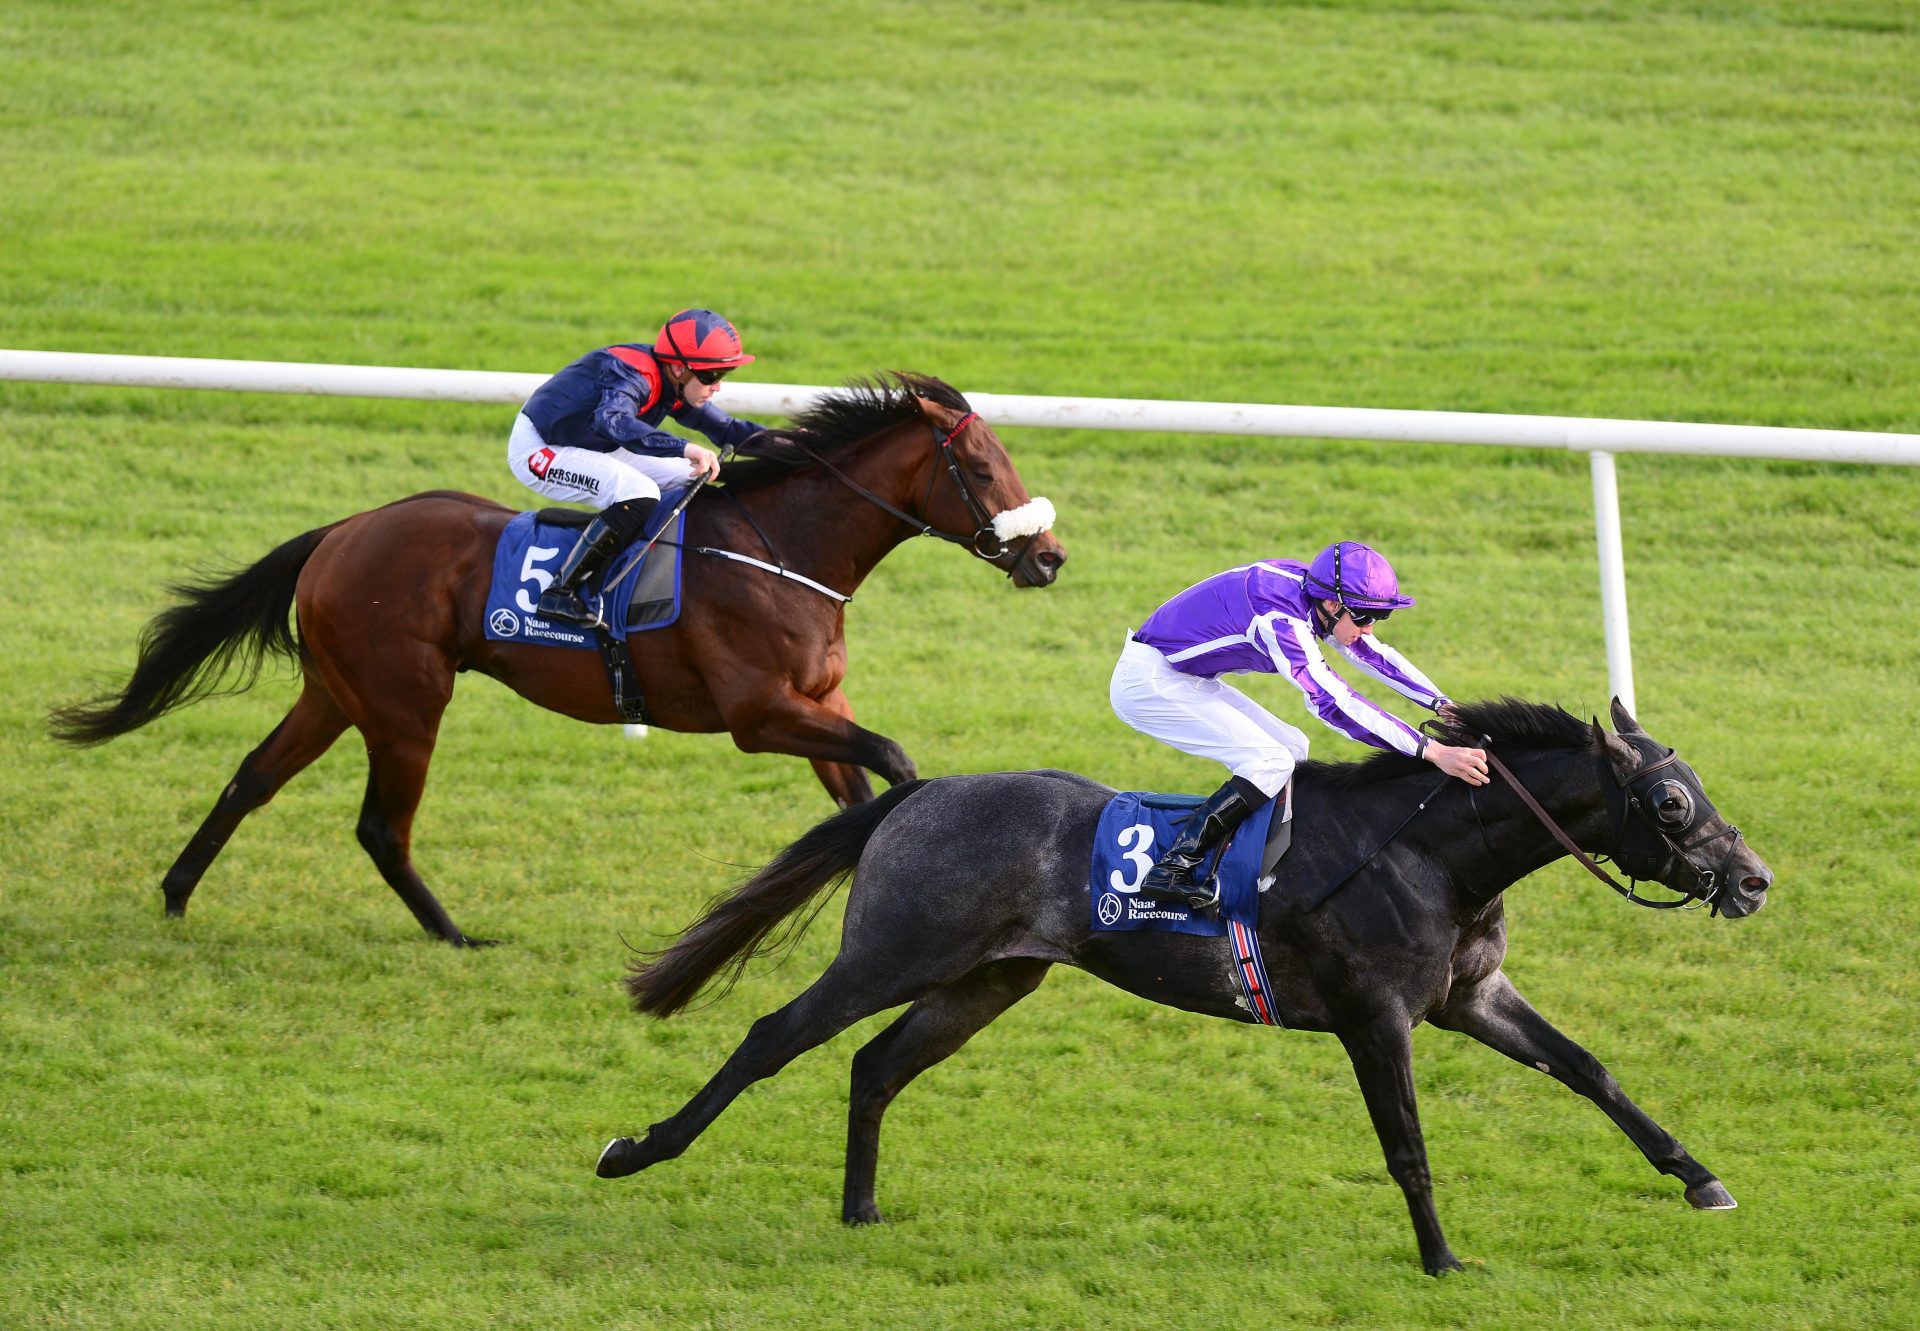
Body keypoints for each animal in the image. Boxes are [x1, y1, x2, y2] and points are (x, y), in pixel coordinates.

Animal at [48, 368, 1067, 941]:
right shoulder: (759, 714)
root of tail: (342, 530)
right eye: (982, 468)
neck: (786, 549)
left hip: (336, 690)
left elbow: (860, 791)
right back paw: (455, 935)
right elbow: (896, 761)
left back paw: (177, 896)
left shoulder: (818, 707)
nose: (1049, 556)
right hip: (405, 702)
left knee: (252, 777)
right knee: (381, 826)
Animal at [595, 695, 1766, 1267]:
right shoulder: (1374, 1015)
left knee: (875, 1065)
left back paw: (862, 1209)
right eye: (1670, 801)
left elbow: (1592, 1070)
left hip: (988, 978)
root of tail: (920, 793)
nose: (1753, 878)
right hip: (892, 951)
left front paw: (1701, 1176)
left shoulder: (1468, 996)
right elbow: (1407, 1143)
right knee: (770, 1036)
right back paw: (636, 1148)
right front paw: (1442, 1260)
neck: (1431, 852)